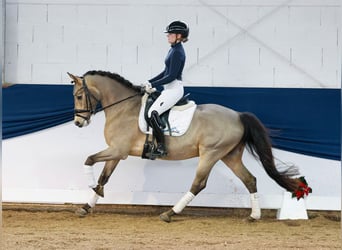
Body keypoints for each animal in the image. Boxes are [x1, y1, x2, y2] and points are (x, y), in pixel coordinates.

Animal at [67, 70, 308, 223]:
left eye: (78, 96)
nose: (78, 123)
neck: (123, 108)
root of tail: (238, 115)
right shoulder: (117, 153)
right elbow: (104, 177)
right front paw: (87, 205)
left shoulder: (119, 151)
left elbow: (89, 160)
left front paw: (92, 188)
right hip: (230, 155)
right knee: (250, 179)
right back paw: (253, 216)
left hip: (210, 154)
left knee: (198, 184)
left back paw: (170, 213)